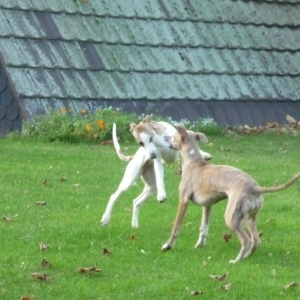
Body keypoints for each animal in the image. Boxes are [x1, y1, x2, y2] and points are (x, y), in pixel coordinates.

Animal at [162, 123, 300, 262]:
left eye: (174, 136)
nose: (165, 137)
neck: (193, 163)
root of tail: (255, 188)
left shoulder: (183, 200)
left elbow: (176, 227)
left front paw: (167, 246)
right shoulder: (207, 206)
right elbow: (204, 228)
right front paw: (199, 245)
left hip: (231, 217)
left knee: (246, 240)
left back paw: (236, 261)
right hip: (249, 218)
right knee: (256, 241)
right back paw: (246, 257)